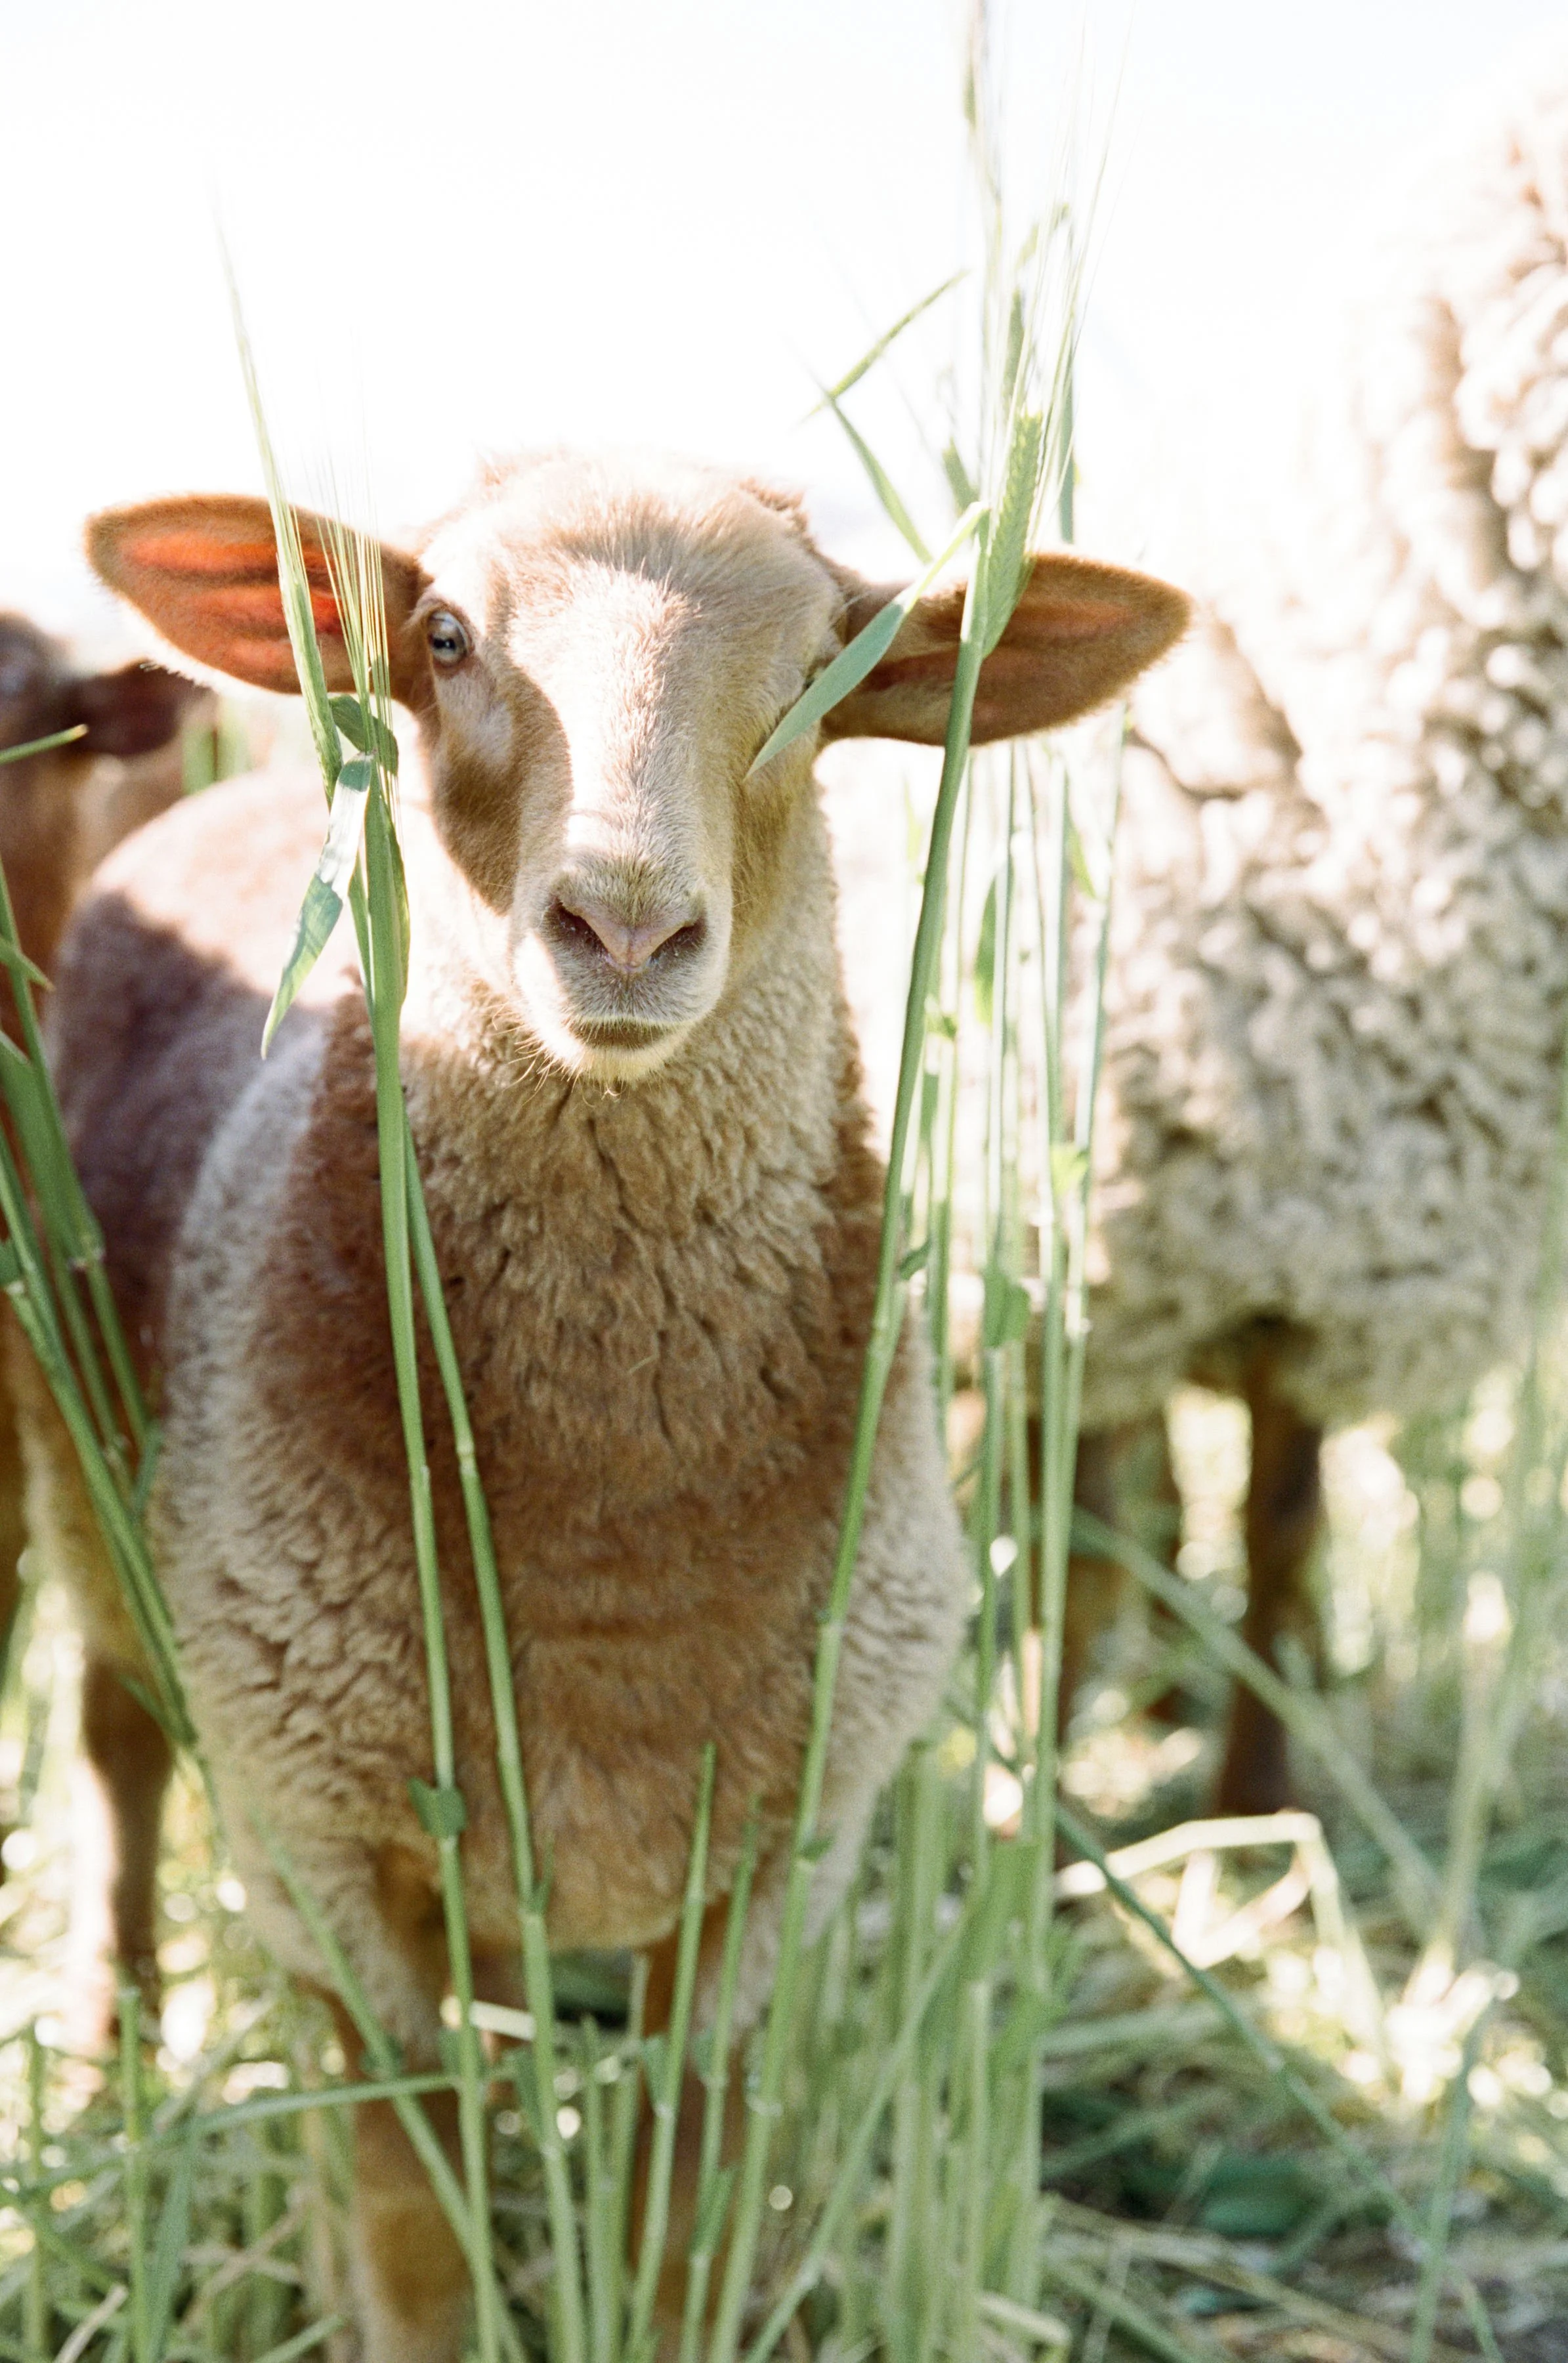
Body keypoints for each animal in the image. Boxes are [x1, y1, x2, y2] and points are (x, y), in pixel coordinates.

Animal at [21, 450, 1187, 2361]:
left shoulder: (775, 1862)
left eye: (827, 660)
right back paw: (120, 2043)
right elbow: (414, 2207)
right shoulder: (315, 1829)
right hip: (92, 1507)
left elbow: (678, 2208)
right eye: (442, 633)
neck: (612, 1538)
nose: (625, 924)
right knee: (116, 1742)